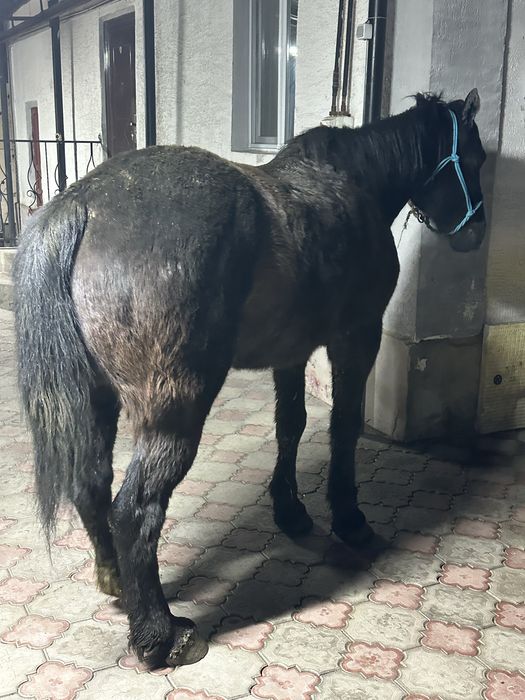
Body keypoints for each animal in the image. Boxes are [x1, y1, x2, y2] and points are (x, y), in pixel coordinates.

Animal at [13, 90, 486, 668]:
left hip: (96, 398)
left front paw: (291, 510)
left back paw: (120, 586)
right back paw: (162, 634)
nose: (475, 232)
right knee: (135, 510)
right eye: (477, 158)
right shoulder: (356, 337)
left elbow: (291, 423)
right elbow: (344, 426)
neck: (354, 183)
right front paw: (349, 518)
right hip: (174, 410)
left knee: (90, 485)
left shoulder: (292, 352)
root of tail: (80, 206)